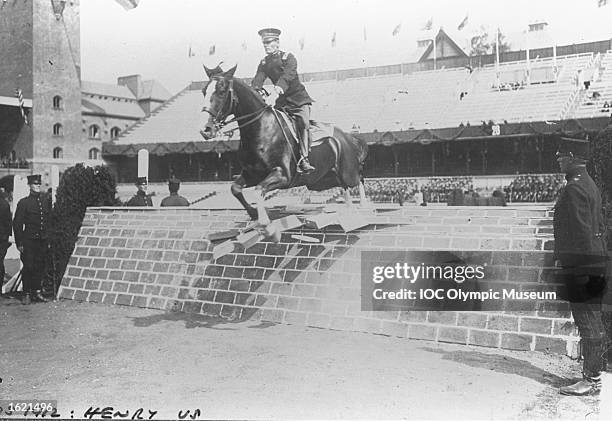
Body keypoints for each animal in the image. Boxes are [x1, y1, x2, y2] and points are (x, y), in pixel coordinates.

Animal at [200, 64, 368, 233]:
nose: (206, 130)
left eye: (222, 91)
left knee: (358, 179)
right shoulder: (252, 174)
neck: (261, 128)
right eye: (204, 91)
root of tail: (347, 137)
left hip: (347, 172)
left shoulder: (282, 176)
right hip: (320, 181)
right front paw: (253, 213)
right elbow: (235, 188)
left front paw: (264, 223)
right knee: (344, 186)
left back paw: (364, 208)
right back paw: (350, 210)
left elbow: (258, 191)